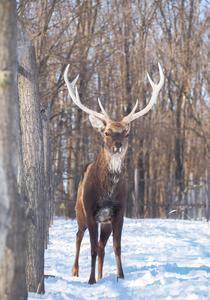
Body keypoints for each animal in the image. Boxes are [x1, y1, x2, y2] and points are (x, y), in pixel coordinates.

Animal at [64, 62, 164, 284]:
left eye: (126, 133)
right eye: (107, 132)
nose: (117, 144)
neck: (107, 192)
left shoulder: (119, 212)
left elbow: (116, 247)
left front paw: (120, 277)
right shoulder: (91, 211)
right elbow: (91, 248)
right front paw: (91, 280)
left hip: (105, 223)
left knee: (102, 247)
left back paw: (102, 275)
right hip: (79, 211)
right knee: (78, 236)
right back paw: (75, 271)